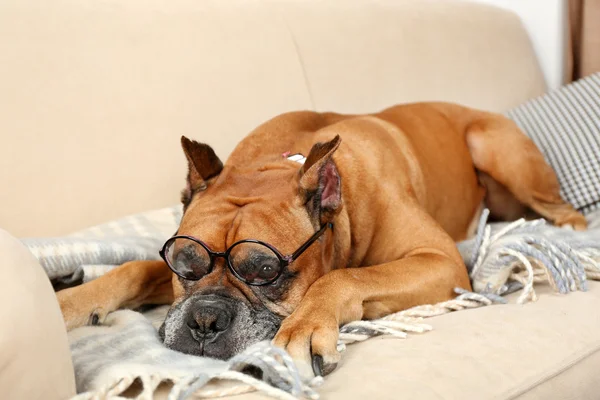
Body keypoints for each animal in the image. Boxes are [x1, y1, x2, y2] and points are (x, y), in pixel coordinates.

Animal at [57, 101, 584, 376]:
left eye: (265, 271)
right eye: (185, 263)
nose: (205, 320)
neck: (276, 163)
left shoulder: (440, 261)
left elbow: (344, 278)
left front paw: (306, 328)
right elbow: (133, 267)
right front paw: (70, 302)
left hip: (494, 148)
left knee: (565, 211)